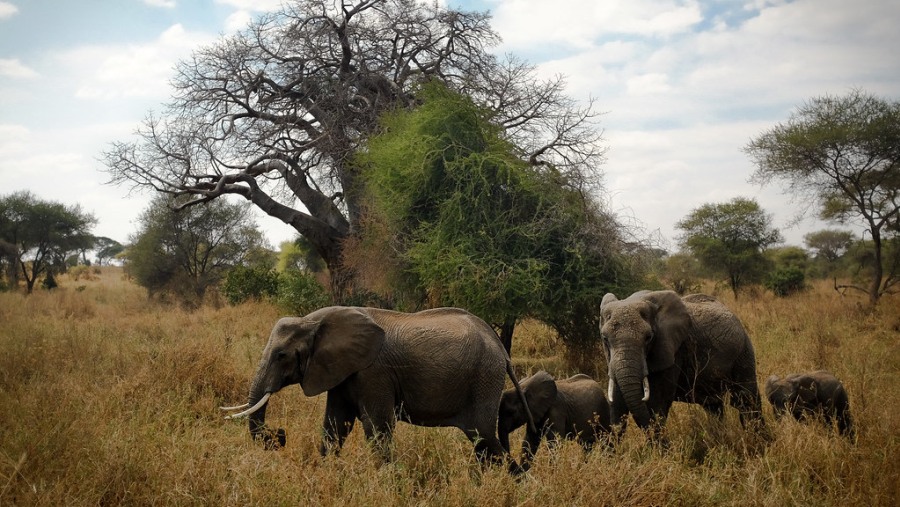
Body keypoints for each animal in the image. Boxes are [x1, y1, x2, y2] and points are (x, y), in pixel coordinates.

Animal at [222, 308, 536, 474]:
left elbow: (376, 426)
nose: (279, 435)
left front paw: (386, 480)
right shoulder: (343, 371)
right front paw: (327, 474)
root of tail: (501, 349)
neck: (314, 321)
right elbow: (336, 424)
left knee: (483, 435)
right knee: (482, 442)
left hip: (484, 378)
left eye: (281, 356)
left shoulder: (374, 373)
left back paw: (515, 481)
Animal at [600, 292, 764, 438]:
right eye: (604, 338)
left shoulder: (673, 349)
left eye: (649, 337)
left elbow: (658, 404)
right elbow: (617, 402)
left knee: (745, 400)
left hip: (743, 352)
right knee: (714, 406)